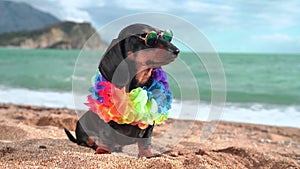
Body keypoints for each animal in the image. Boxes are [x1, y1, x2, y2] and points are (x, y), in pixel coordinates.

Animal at [64, 23, 179, 158]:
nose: (177, 51)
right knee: (88, 140)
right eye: (148, 38)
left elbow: (145, 141)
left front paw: (148, 155)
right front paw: (103, 151)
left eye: (165, 36)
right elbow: (106, 135)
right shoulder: (106, 121)